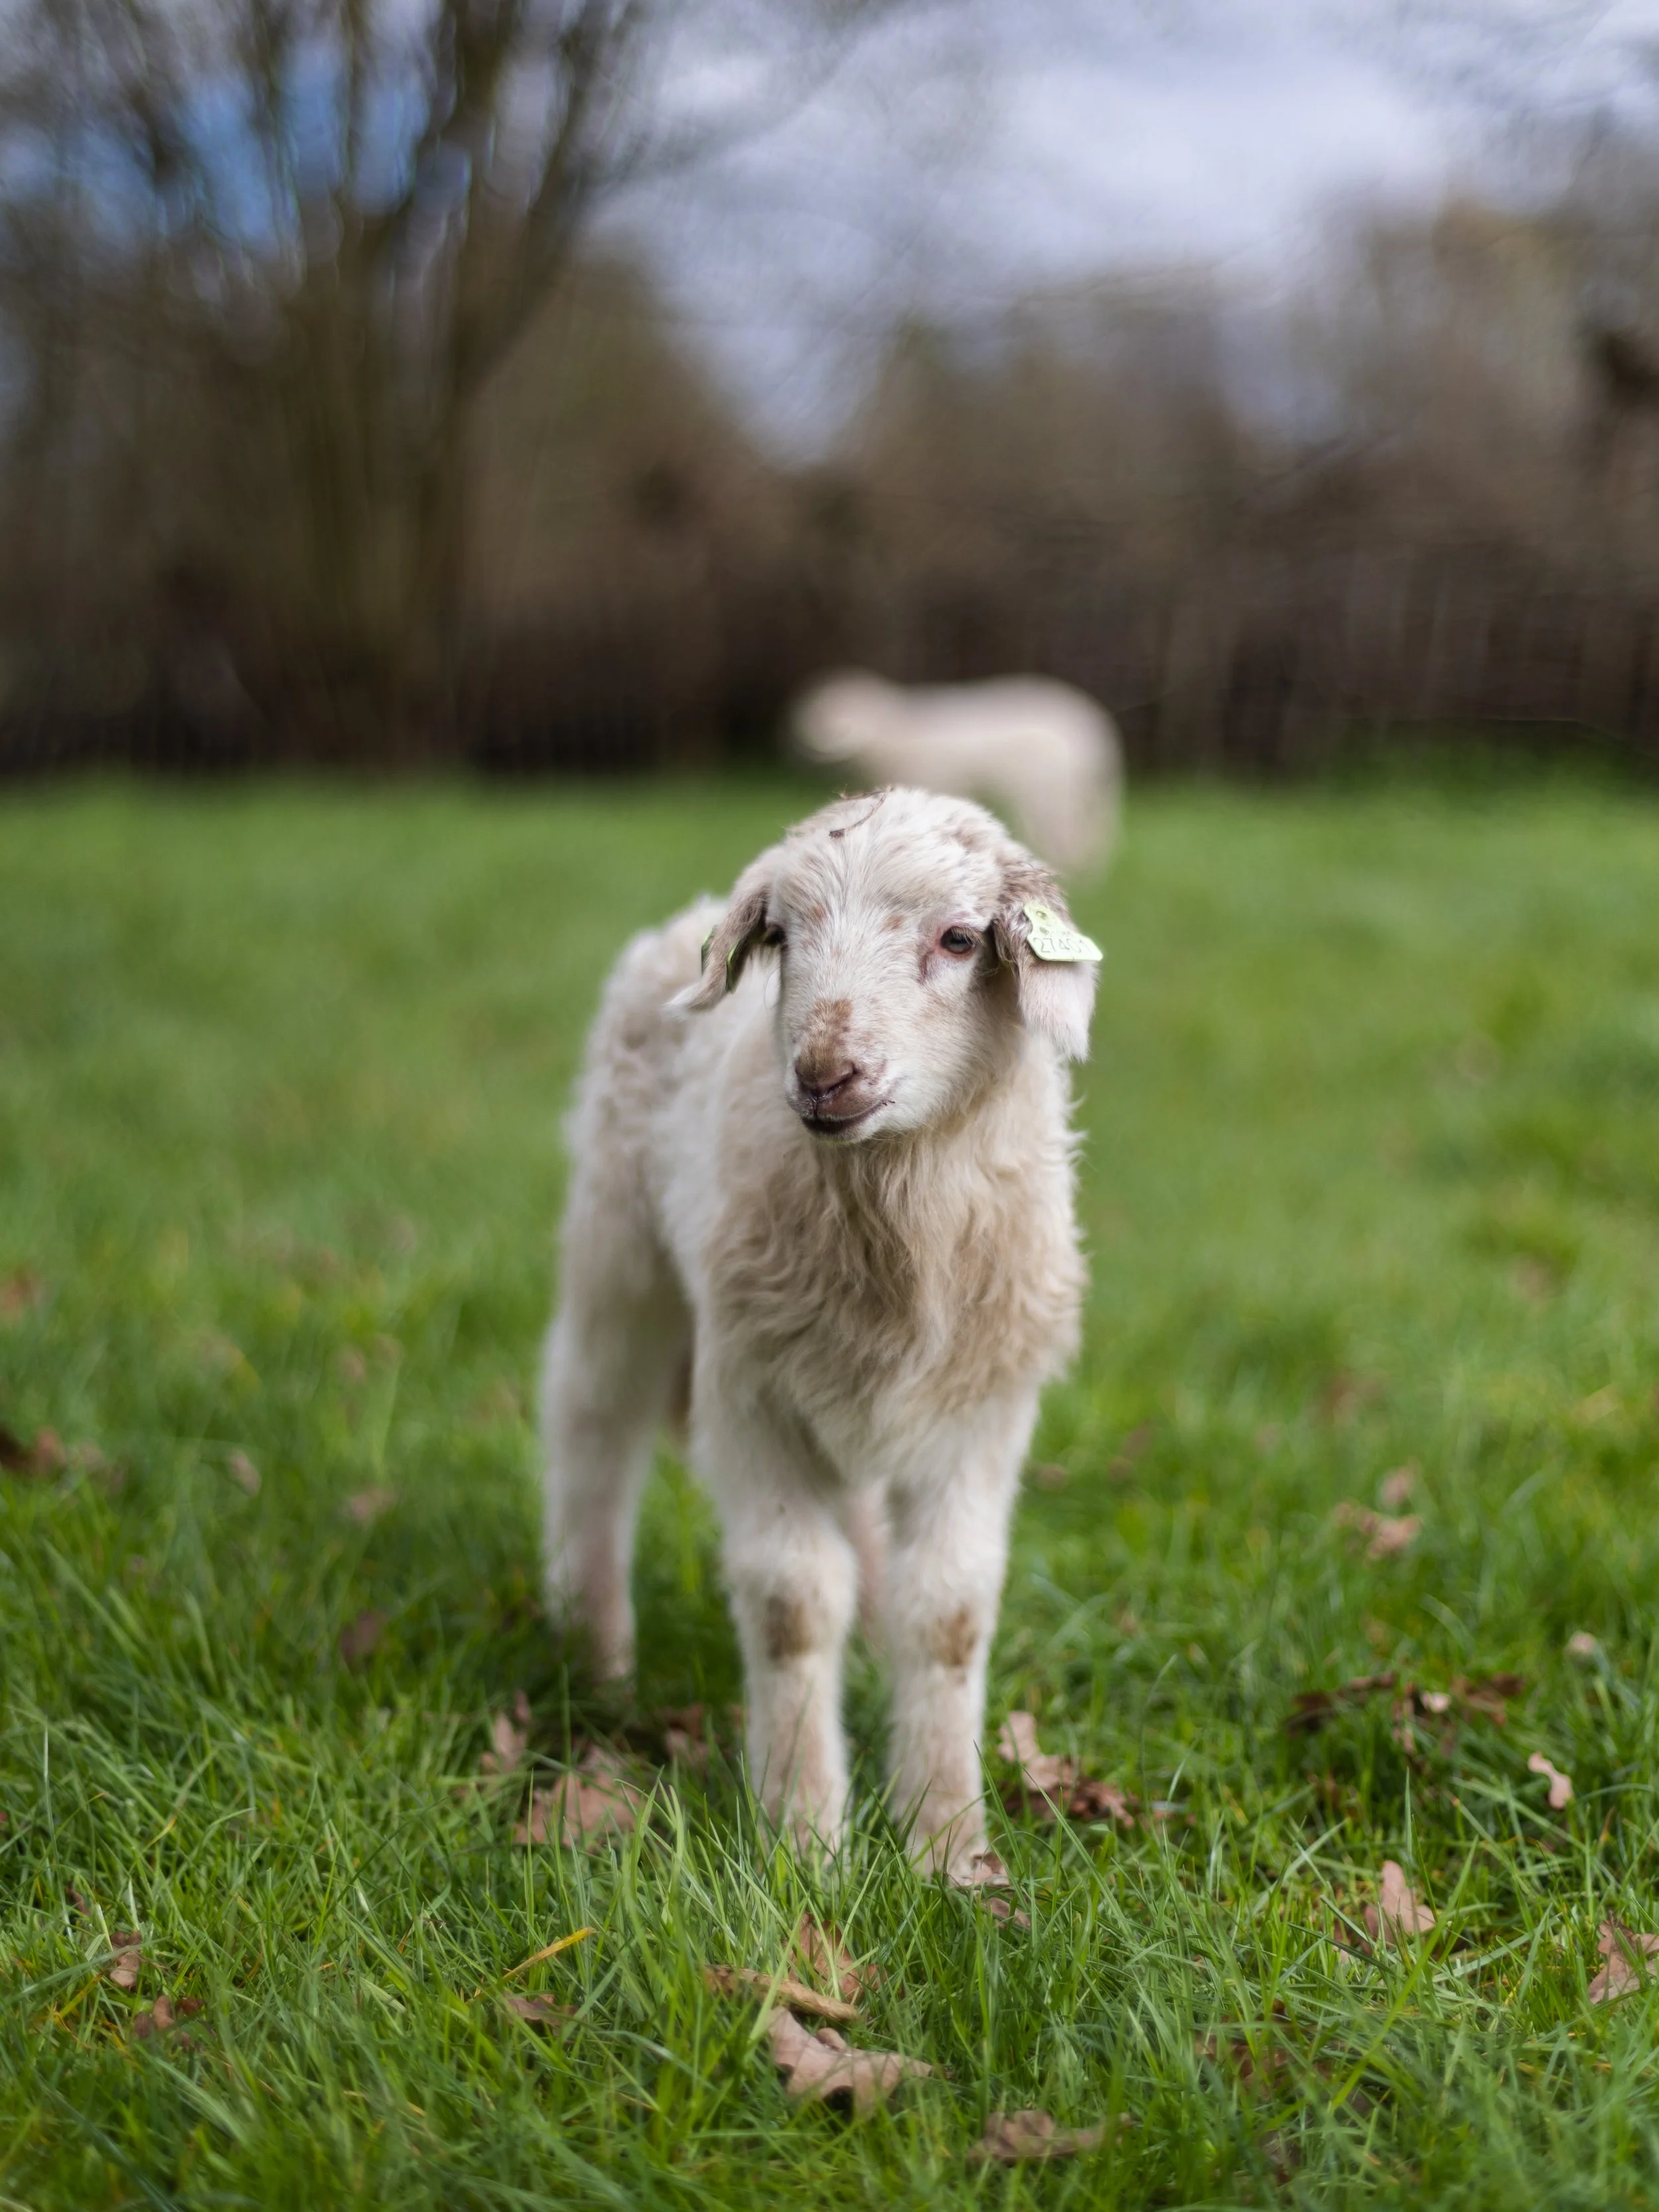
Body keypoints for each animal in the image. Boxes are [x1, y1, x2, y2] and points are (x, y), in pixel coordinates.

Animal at [539, 787, 1100, 1877]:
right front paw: (803, 1837)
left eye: (959, 939)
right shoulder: (751, 1392)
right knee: (591, 1429)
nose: (825, 1073)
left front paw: (947, 1842)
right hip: (619, 1252)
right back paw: (595, 1652)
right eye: (784, 939)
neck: (900, 1227)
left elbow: (949, 1615)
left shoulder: (978, 1415)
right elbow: (794, 1605)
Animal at [790, 670, 1123, 876]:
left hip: (1048, 788)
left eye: (846, 716)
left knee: (1062, 833)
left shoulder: (932, 779)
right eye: (816, 713)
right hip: (1083, 794)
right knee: (1090, 835)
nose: (817, 745)